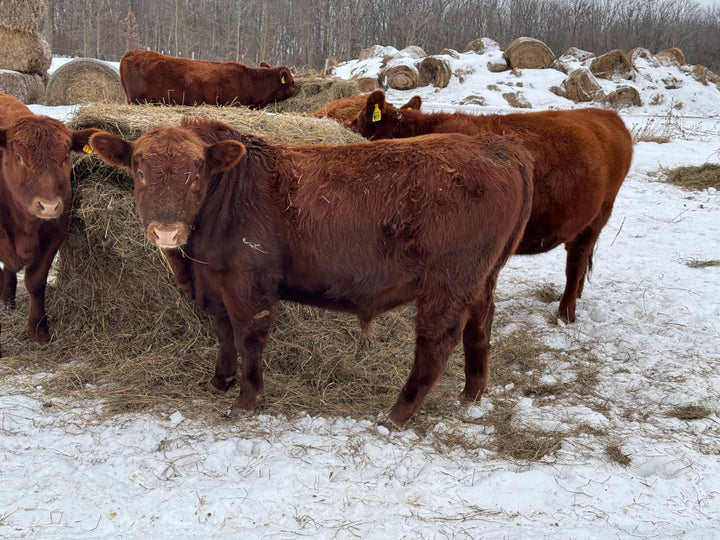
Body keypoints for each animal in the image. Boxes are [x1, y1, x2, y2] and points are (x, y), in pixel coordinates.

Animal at [0, 93, 98, 356]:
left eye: (65, 157)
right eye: (18, 157)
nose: (49, 206)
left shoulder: (55, 233)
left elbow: (36, 282)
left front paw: (39, 330)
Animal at [89, 117, 533, 427]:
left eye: (195, 171)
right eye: (139, 171)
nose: (166, 230)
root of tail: (494, 144)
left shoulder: (248, 281)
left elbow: (248, 336)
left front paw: (245, 401)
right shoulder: (216, 283)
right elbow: (224, 332)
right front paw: (219, 381)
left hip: (450, 280)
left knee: (436, 341)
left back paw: (397, 414)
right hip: (481, 279)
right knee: (480, 328)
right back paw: (471, 395)